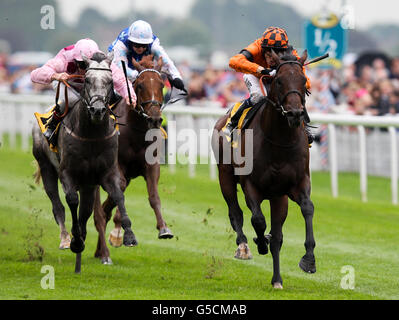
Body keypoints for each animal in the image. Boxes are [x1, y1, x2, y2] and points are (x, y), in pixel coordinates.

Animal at [32, 52, 138, 272]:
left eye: (110, 81)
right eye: (87, 80)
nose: (97, 109)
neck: (91, 135)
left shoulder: (106, 173)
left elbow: (118, 197)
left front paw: (129, 235)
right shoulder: (67, 173)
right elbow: (72, 200)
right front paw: (76, 240)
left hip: (89, 185)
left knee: (86, 211)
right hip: (46, 166)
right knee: (57, 205)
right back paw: (66, 238)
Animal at [94, 55, 174, 264]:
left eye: (161, 84)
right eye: (139, 86)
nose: (155, 119)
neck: (138, 132)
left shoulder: (152, 166)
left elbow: (154, 196)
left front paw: (164, 228)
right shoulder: (118, 166)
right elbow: (118, 192)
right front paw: (119, 234)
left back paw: (100, 249)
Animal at [211, 50, 318, 290]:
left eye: (303, 80)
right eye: (278, 80)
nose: (295, 113)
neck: (279, 141)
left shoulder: (296, 184)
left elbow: (307, 209)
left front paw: (309, 260)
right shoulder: (250, 184)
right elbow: (258, 220)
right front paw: (260, 242)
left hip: (278, 197)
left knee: (277, 236)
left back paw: (277, 279)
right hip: (225, 176)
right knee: (236, 212)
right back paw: (244, 246)